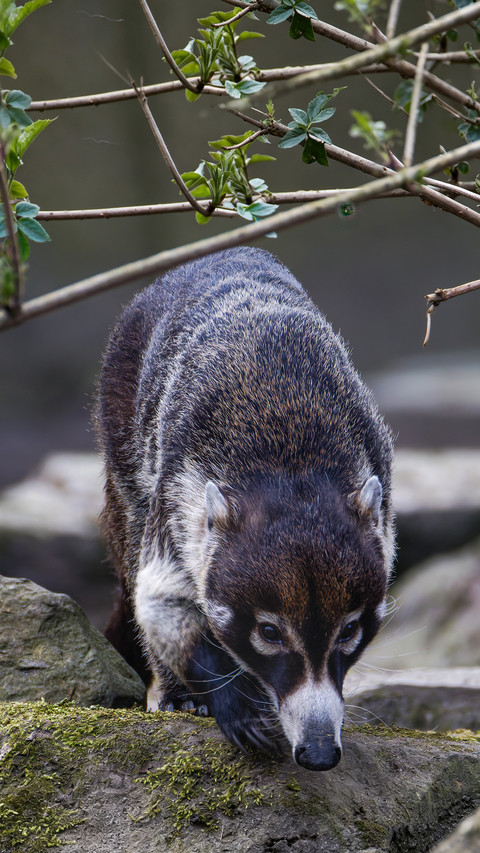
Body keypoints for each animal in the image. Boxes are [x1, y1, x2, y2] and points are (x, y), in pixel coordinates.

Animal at [97, 247, 394, 771]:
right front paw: (232, 700)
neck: (292, 465)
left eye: (349, 630)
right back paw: (177, 693)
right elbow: (159, 599)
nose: (319, 752)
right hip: (123, 438)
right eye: (270, 632)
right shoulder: (178, 490)